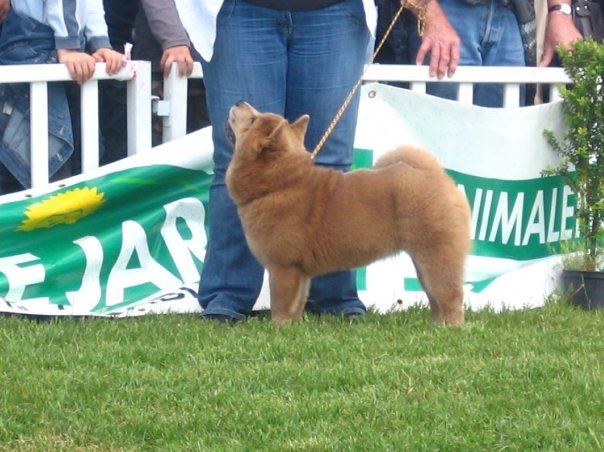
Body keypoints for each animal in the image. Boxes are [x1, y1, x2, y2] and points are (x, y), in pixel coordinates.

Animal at [225, 101, 471, 325]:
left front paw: (279, 328)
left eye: (252, 120)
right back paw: (436, 326)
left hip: (436, 257)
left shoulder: (283, 268)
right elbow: (298, 302)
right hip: (424, 263)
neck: (280, 184)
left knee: (450, 297)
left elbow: (281, 304)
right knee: (436, 299)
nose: (239, 101)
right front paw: (293, 327)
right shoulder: (300, 273)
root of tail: (436, 175)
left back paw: (451, 328)